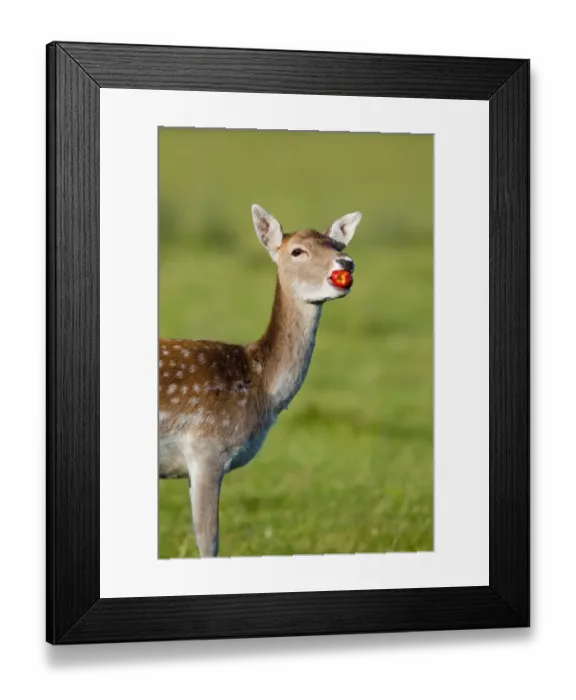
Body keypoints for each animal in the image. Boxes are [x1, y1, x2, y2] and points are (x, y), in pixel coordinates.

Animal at [158, 204, 362, 558]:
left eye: (338, 245)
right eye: (297, 251)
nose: (345, 264)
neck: (261, 388)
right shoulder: (206, 448)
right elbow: (209, 542)